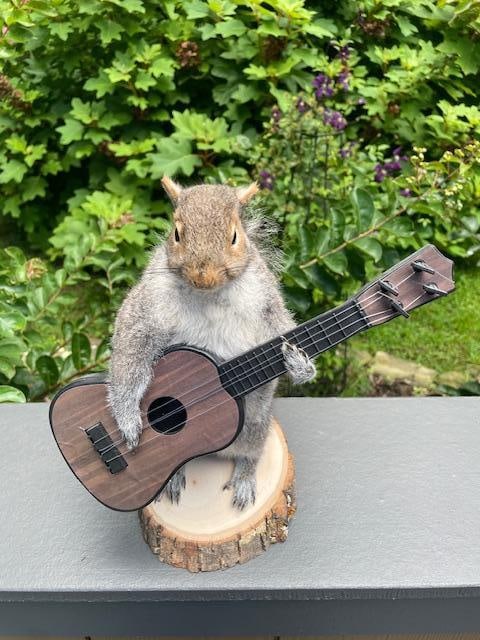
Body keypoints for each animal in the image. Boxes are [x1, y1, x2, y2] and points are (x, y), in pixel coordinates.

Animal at [108, 177, 316, 510]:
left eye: (234, 236)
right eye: (176, 233)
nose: (202, 276)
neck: (208, 295)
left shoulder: (268, 302)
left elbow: (282, 326)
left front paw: (300, 365)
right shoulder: (146, 306)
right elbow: (130, 346)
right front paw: (127, 417)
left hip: (256, 424)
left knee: (250, 453)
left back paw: (244, 477)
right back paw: (173, 479)